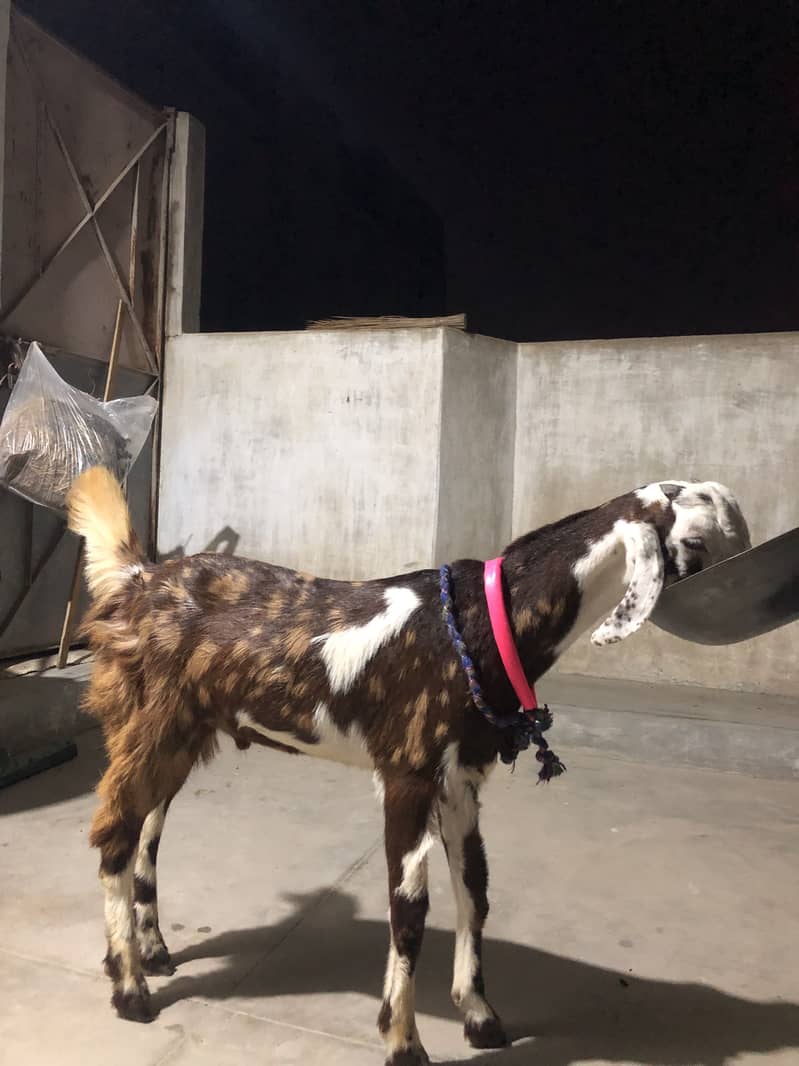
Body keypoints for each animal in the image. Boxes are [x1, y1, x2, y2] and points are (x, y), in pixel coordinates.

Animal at [67, 468, 749, 1065]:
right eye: (694, 541)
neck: (482, 620)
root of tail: (134, 578)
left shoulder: (462, 782)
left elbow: (475, 888)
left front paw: (480, 1016)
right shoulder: (406, 774)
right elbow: (410, 910)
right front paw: (403, 1041)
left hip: (182, 738)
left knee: (146, 833)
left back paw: (149, 952)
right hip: (149, 726)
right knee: (114, 835)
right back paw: (130, 989)